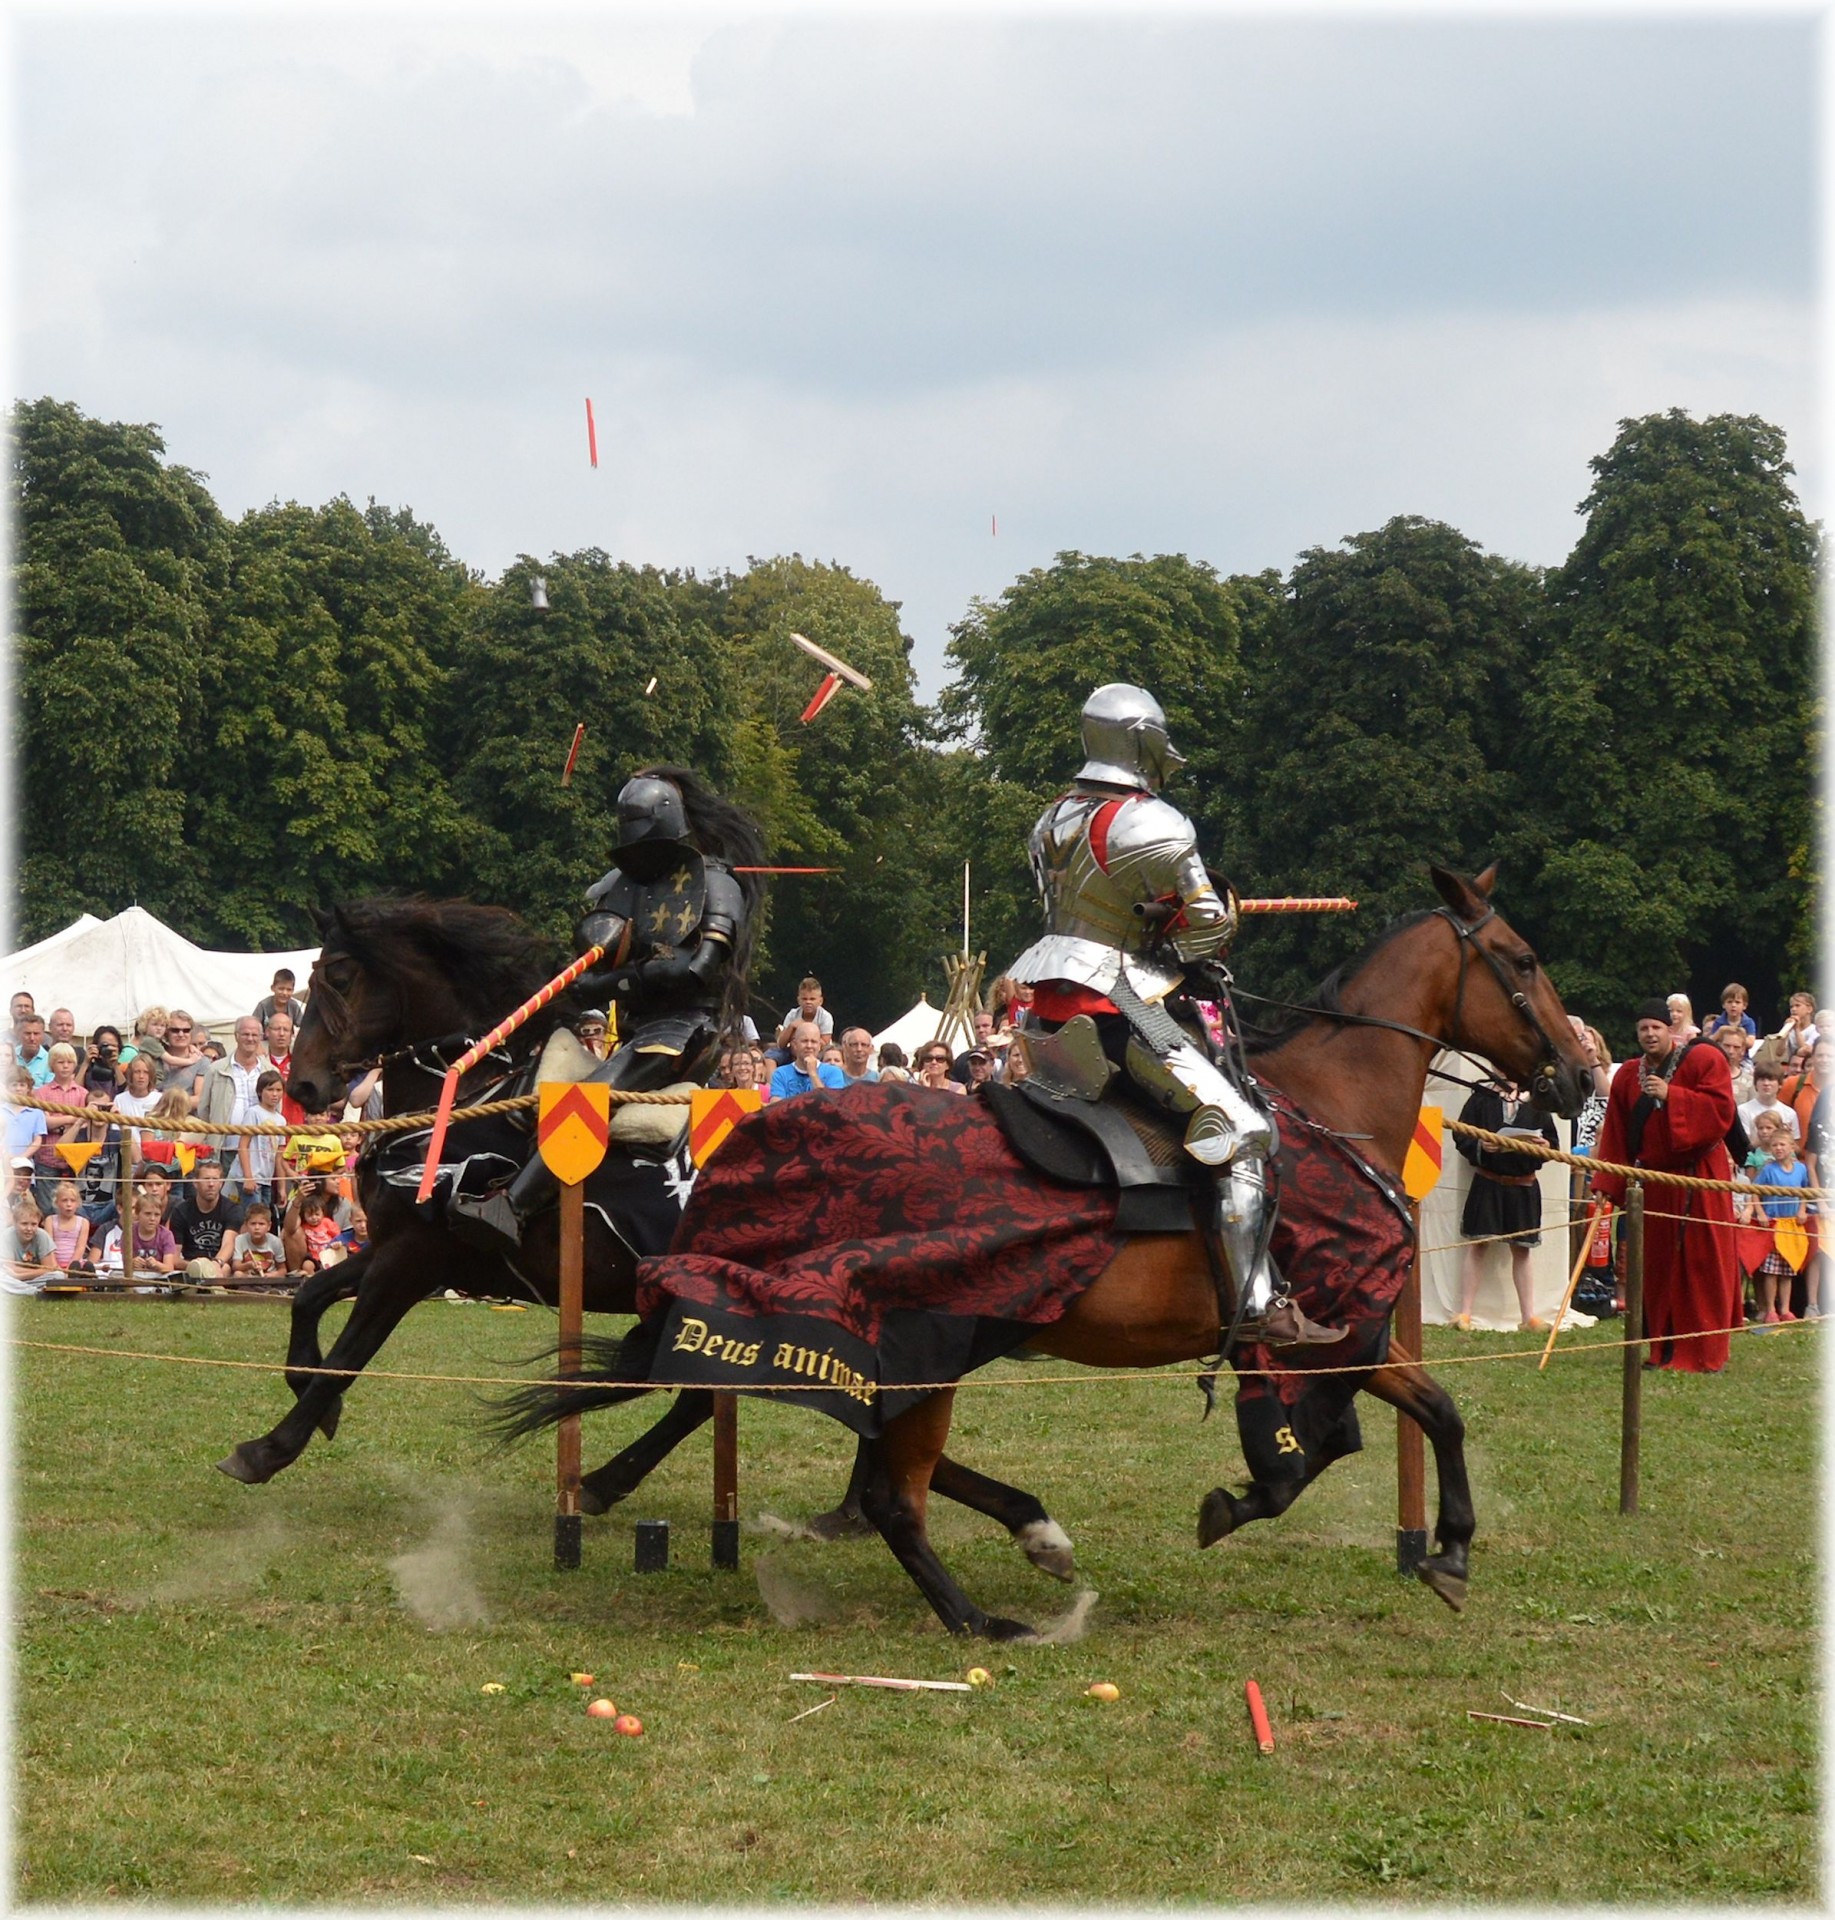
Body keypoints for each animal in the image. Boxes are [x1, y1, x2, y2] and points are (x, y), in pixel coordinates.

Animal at [502, 871, 1589, 1635]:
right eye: (1522, 958)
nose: (1579, 1074)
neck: (1332, 1110)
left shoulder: (1343, 1334)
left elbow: (1434, 1412)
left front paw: (1447, 1553)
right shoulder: (1312, 1332)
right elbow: (1319, 1449)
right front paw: (1243, 1503)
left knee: (830, 1441)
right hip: (932, 1336)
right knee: (875, 1480)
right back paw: (979, 1617)